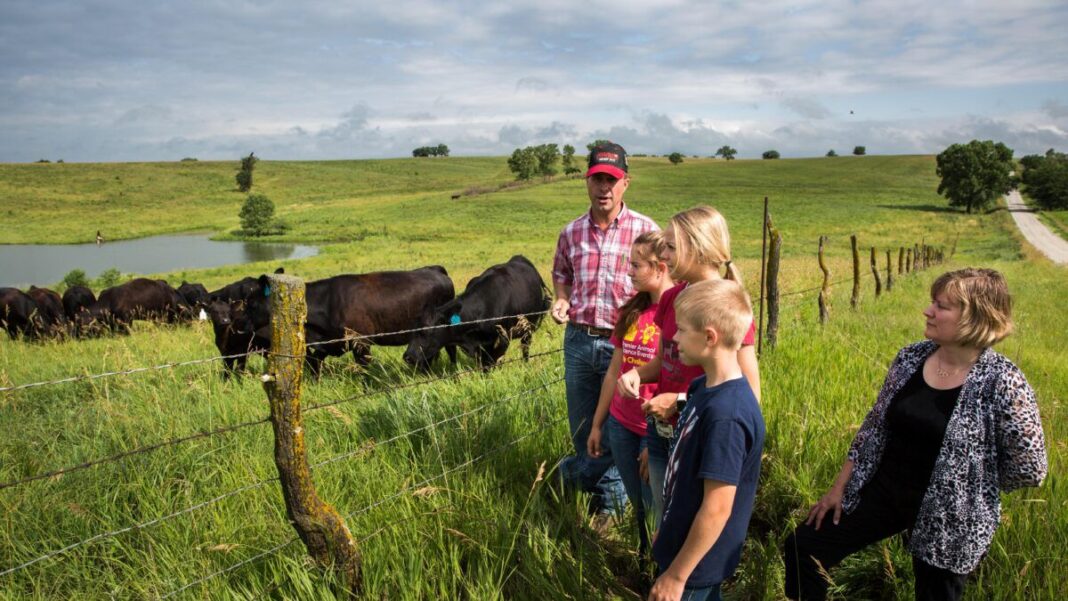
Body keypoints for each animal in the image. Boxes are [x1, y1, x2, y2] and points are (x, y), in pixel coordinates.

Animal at [244, 265, 452, 373]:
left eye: (251, 303)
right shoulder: (325, 344)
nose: (242, 325)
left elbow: (365, 370)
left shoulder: (361, 342)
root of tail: (435, 269)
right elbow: (314, 367)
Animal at [401, 255, 551, 371]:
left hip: (529, 327)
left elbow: (493, 363)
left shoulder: (502, 339)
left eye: (425, 331)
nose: (407, 357)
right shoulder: (481, 348)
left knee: (525, 348)